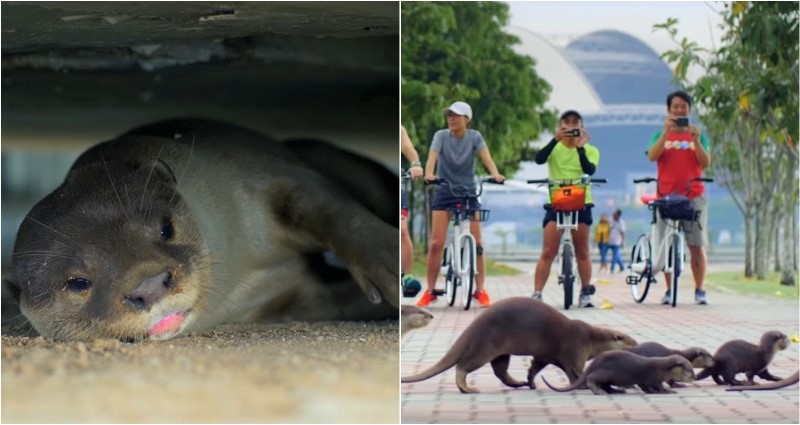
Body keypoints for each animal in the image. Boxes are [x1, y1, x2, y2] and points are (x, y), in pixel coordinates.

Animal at [4, 119, 398, 342]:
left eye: (166, 229)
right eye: (78, 283)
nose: (148, 286)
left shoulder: (257, 174)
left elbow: (331, 208)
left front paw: (391, 262)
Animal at [400, 297, 637, 393]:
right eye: (628, 340)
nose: (637, 344)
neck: (590, 338)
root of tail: (474, 324)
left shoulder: (546, 354)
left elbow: (536, 367)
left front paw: (531, 382)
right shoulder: (575, 349)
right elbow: (577, 373)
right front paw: (584, 385)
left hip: (500, 352)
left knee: (500, 371)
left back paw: (519, 383)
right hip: (485, 347)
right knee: (463, 366)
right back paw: (468, 388)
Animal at [542, 350, 695, 395]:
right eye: (690, 370)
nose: (694, 378)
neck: (662, 368)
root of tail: (594, 363)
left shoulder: (644, 380)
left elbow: (644, 386)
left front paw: (650, 392)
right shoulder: (654, 377)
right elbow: (659, 387)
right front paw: (669, 391)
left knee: (607, 386)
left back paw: (618, 390)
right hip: (605, 372)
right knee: (592, 379)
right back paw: (599, 391)